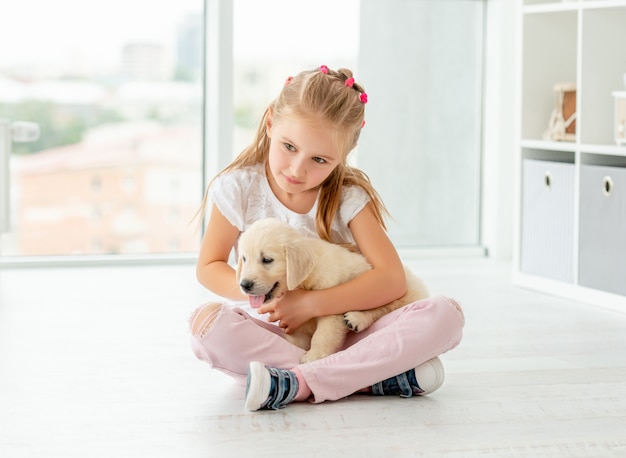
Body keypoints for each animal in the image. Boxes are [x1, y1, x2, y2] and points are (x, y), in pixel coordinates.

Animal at [235, 219, 428, 364]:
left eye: (267, 260)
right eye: (244, 258)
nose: (244, 284)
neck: (302, 282)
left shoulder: (328, 305)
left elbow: (323, 335)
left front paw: (314, 356)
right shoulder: (296, 325)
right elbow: (297, 341)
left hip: (396, 291)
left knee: (384, 307)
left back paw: (356, 318)